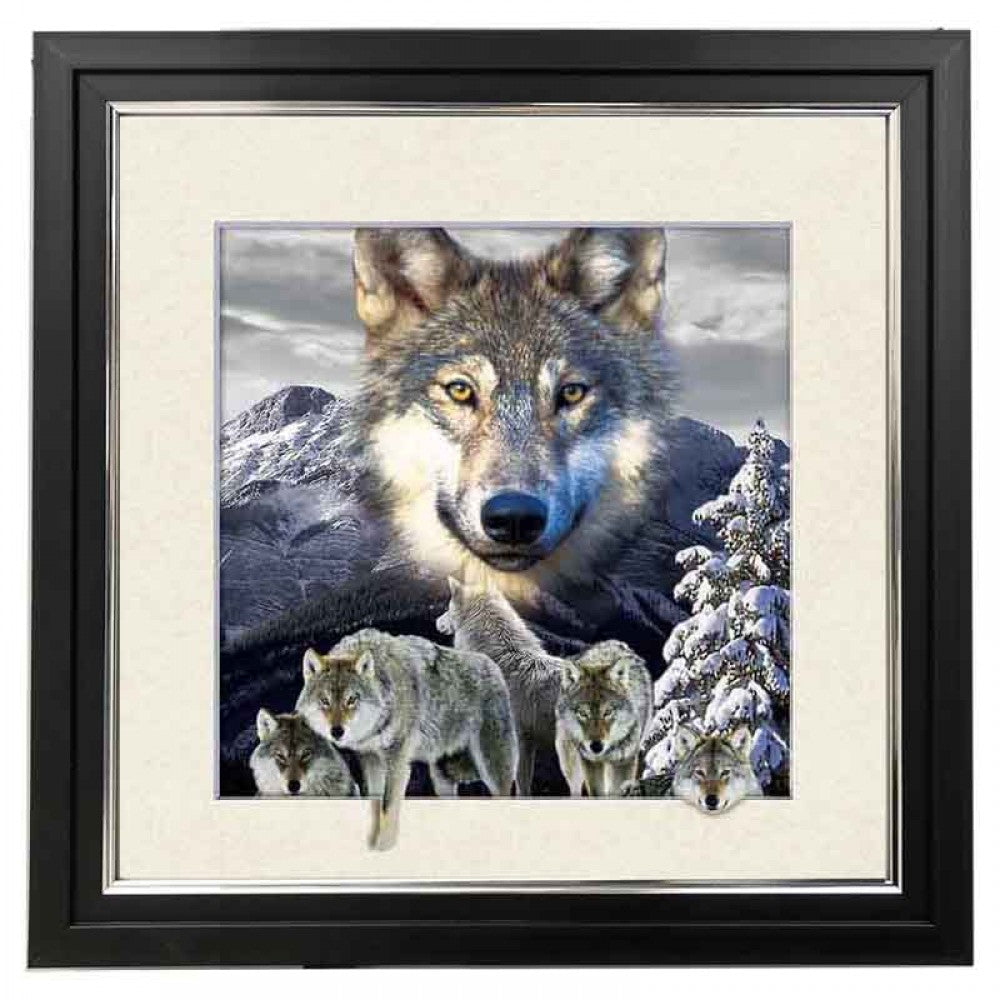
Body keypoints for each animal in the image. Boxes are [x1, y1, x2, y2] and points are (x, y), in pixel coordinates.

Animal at [295, 628, 516, 850]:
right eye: (325, 701)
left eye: (352, 700)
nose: (337, 731)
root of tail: (494, 667)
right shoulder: (370, 760)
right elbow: (374, 803)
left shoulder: (397, 762)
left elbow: (388, 807)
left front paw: (383, 846)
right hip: (441, 778)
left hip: (491, 771)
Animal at [436, 575, 565, 795]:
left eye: (448, 608)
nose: (437, 621)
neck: (505, 662)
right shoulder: (527, 743)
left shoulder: (519, 743)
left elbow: (520, 789)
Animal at [555, 640, 653, 797]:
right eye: (583, 713)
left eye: (608, 712)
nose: (596, 746)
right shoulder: (590, 761)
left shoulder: (624, 761)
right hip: (570, 757)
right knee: (575, 787)